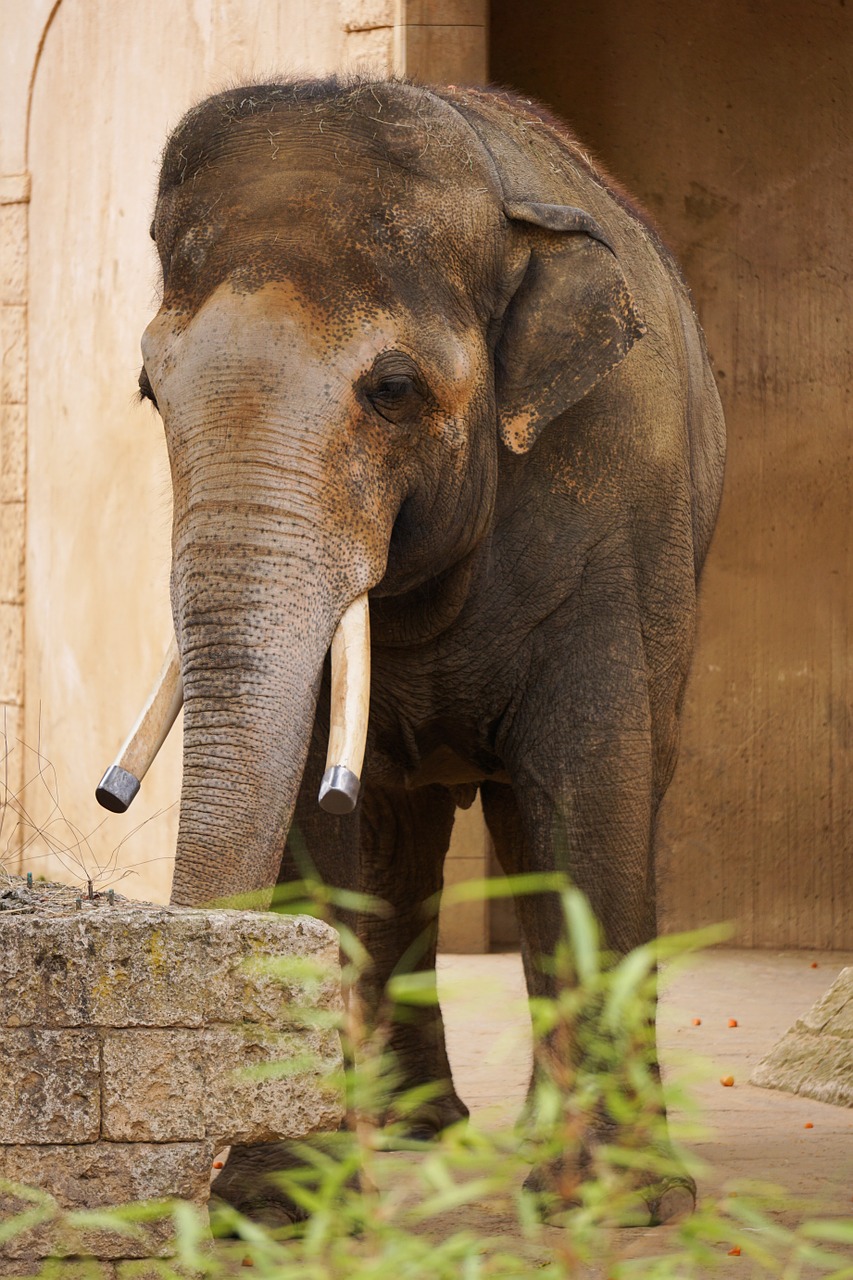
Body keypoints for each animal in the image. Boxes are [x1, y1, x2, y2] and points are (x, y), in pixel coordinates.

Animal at [134, 74, 722, 1223]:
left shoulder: (615, 501)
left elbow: (590, 783)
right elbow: (313, 821)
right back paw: (416, 1131)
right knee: (398, 839)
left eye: (394, 389)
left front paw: (613, 1202)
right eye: (147, 390)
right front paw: (279, 1207)